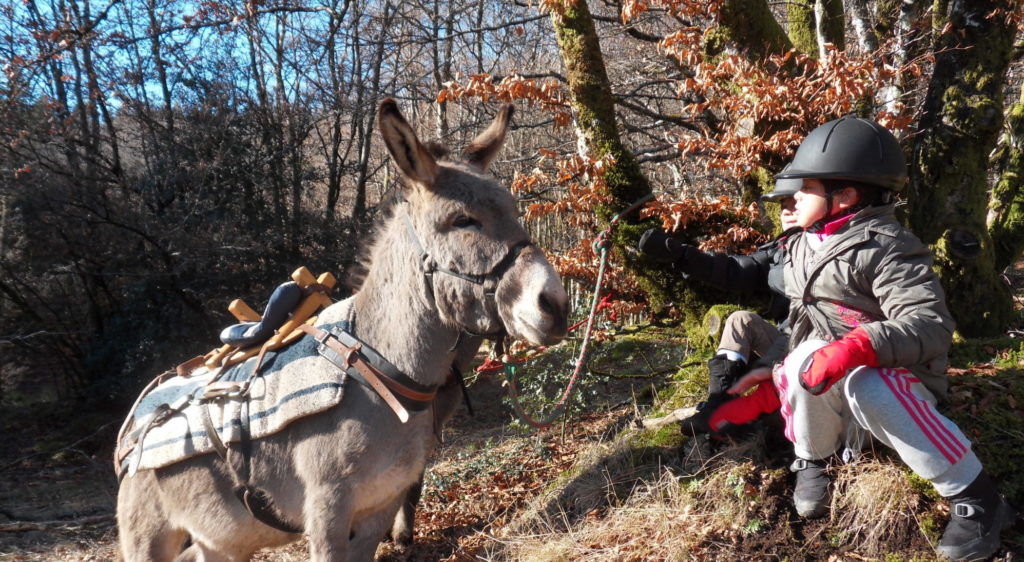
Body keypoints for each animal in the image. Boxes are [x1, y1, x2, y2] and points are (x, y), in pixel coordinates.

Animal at [116, 99, 570, 561]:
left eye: (514, 210)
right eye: (463, 221)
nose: (554, 304)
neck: (380, 373)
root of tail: (136, 418)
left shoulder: (380, 506)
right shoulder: (328, 511)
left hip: (219, 541)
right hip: (148, 536)